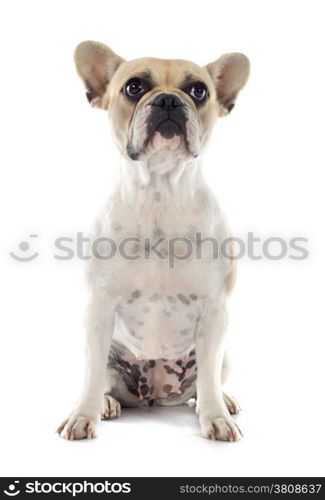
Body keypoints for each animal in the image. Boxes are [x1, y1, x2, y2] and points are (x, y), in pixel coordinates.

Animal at [56, 43, 248, 442]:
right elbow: (90, 377)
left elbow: (208, 380)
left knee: (207, 381)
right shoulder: (98, 309)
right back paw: (106, 404)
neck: (161, 193)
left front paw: (217, 417)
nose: (168, 100)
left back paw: (224, 401)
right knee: (103, 381)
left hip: (225, 355)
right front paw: (83, 415)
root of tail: (156, 396)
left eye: (199, 91)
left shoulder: (214, 311)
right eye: (134, 87)